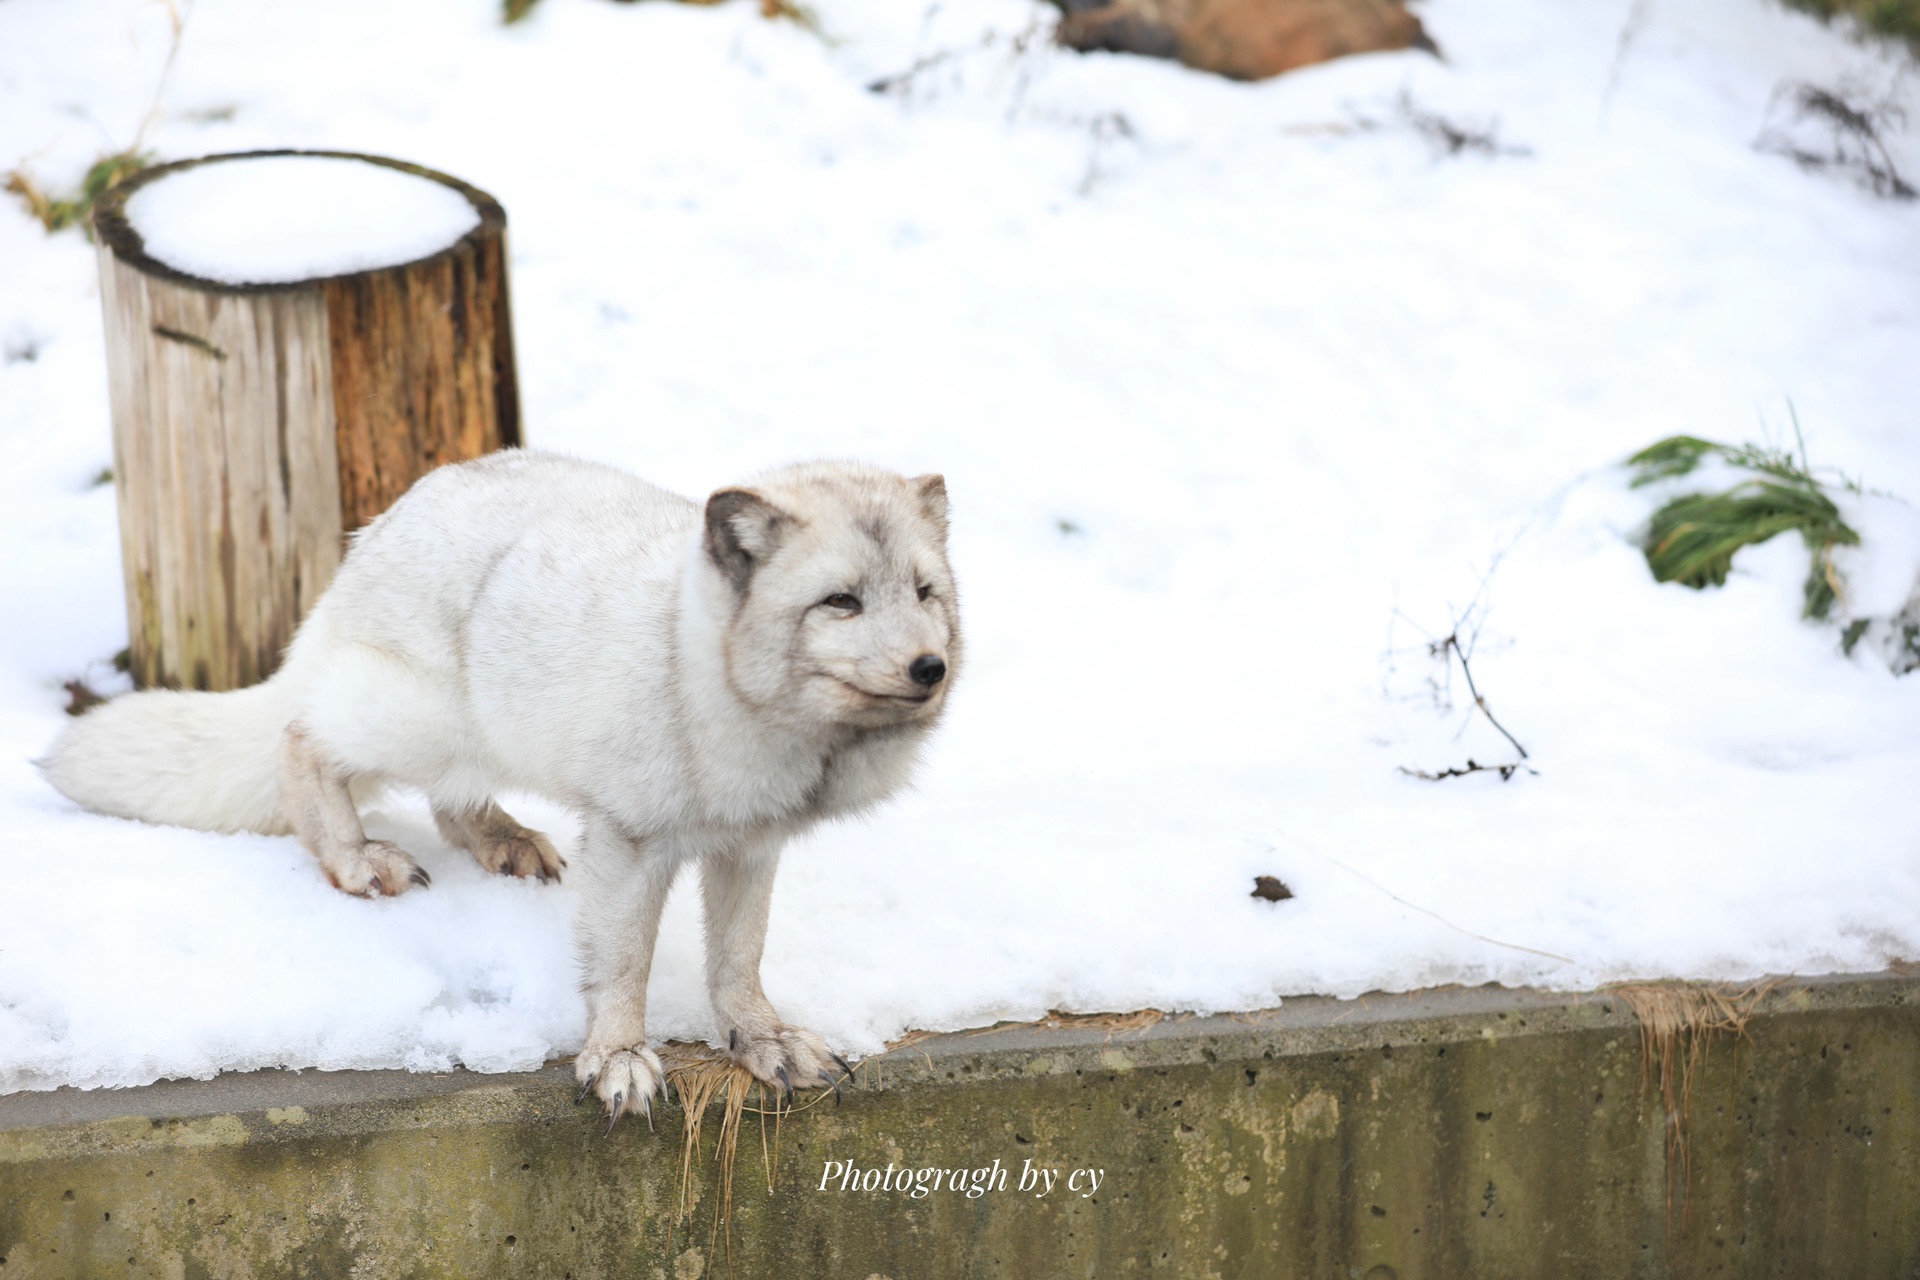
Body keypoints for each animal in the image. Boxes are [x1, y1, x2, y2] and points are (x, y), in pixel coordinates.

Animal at [48, 450, 960, 1120]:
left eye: (925, 593)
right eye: (840, 602)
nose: (932, 668)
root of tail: (380, 525)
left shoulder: (750, 845)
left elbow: (739, 958)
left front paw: (762, 1040)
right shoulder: (631, 839)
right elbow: (624, 961)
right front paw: (618, 1059)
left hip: (478, 738)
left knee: (452, 807)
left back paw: (503, 841)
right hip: (424, 722)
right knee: (302, 736)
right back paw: (353, 858)